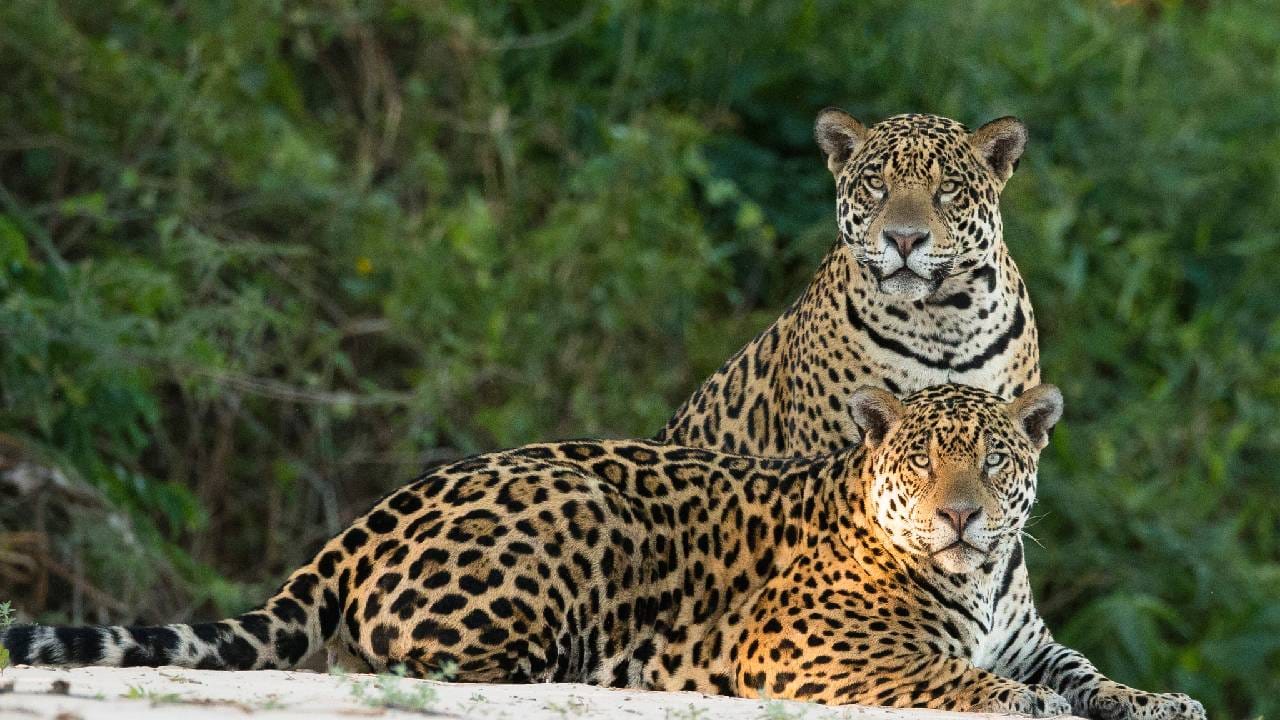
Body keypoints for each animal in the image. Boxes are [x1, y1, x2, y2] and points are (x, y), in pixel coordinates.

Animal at [1, 383, 1203, 719]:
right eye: (921, 462)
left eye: (993, 461)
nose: (961, 516)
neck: (981, 575)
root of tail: (356, 527)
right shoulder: (803, 647)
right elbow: (944, 673)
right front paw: (1018, 704)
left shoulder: (1030, 635)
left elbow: (1087, 671)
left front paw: (1158, 702)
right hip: (570, 514)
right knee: (405, 662)